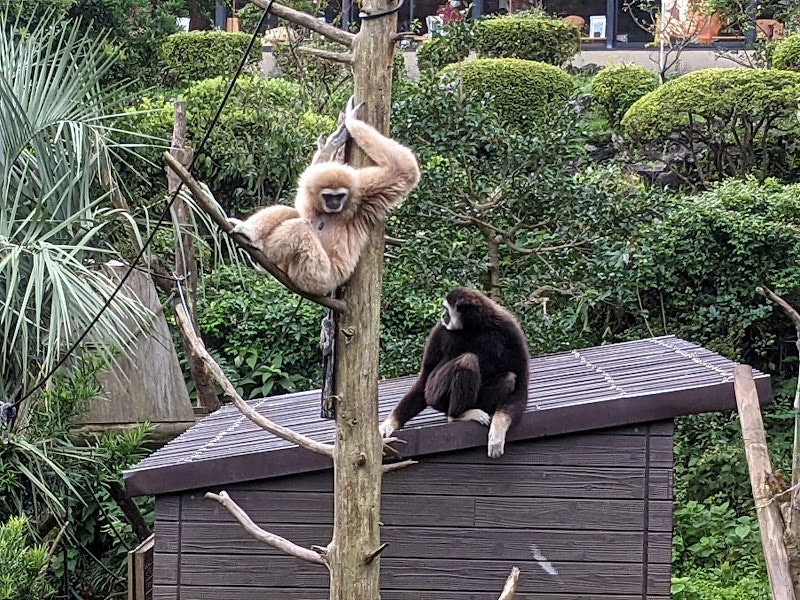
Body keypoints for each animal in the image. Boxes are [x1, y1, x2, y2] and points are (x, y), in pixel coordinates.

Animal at [228, 98, 420, 296]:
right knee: (294, 214)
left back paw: (259, 248)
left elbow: (404, 170)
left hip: (316, 276)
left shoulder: (363, 192)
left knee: (301, 227)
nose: (334, 203)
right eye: (328, 196)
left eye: (340, 196)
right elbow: (300, 204)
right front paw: (333, 143)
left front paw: (351, 122)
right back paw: (249, 233)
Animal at [380, 287, 530, 458]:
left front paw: (497, 433)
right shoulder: (439, 329)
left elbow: (520, 387)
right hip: (436, 395)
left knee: (509, 378)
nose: (442, 315)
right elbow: (424, 377)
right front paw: (389, 424)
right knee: (467, 360)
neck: (473, 328)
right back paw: (457, 416)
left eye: (446, 310)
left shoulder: (510, 331)